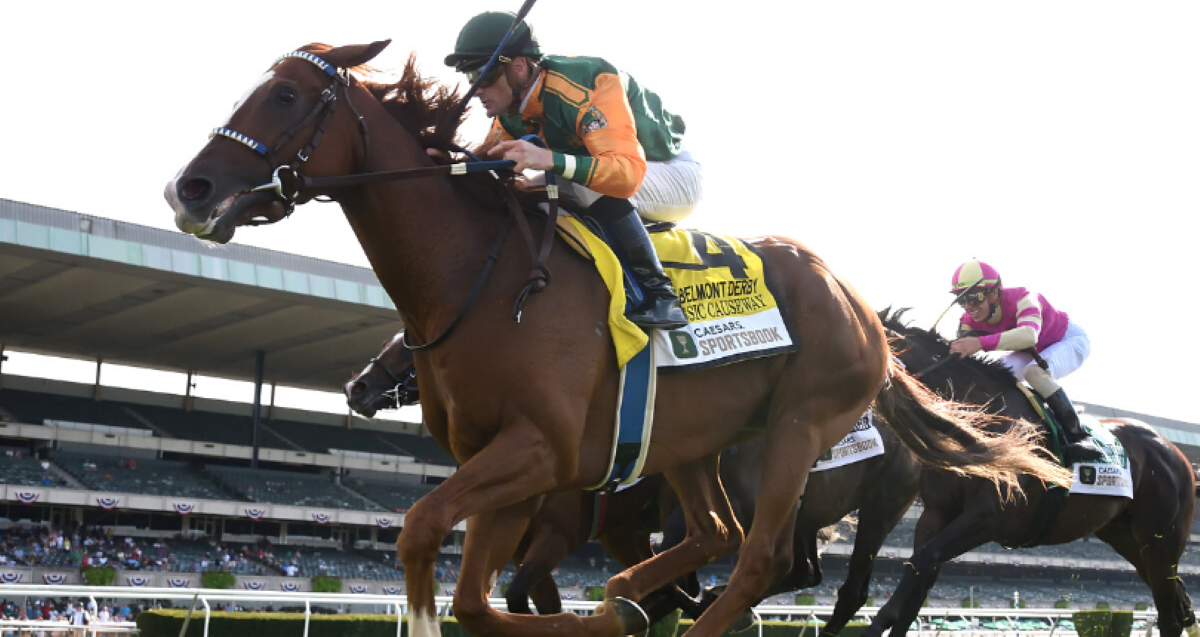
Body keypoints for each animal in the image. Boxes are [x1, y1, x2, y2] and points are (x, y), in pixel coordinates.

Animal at [166, 42, 1070, 633]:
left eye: (285, 97)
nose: (190, 188)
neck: (484, 279)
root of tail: (856, 303)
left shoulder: (540, 449)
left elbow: (423, 533)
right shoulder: (512, 465)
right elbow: (477, 597)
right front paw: (612, 608)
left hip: (800, 429)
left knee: (763, 558)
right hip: (693, 440)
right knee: (717, 535)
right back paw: (636, 593)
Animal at [878, 311, 1195, 637]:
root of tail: (1175, 452)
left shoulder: (991, 516)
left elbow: (923, 559)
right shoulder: (936, 514)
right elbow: (916, 579)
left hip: (1162, 538)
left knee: (1169, 614)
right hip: (1127, 538)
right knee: (1178, 604)